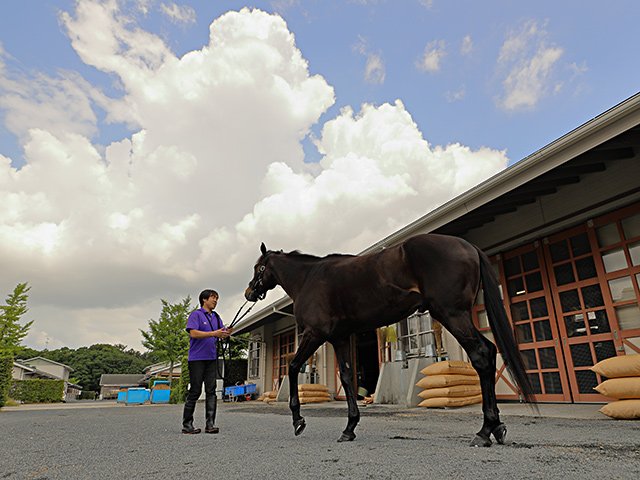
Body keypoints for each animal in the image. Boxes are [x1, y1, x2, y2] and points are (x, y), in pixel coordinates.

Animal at [244, 233, 536, 446]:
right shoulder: (340, 339)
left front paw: (298, 421)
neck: (308, 278)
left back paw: (485, 430)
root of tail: (468, 245)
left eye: (259, 267)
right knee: (488, 351)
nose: (249, 292)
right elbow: (347, 378)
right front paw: (349, 427)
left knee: (481, 354)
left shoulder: (314, 334)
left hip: (452, 314)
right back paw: (495, 427)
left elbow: (293, 368)